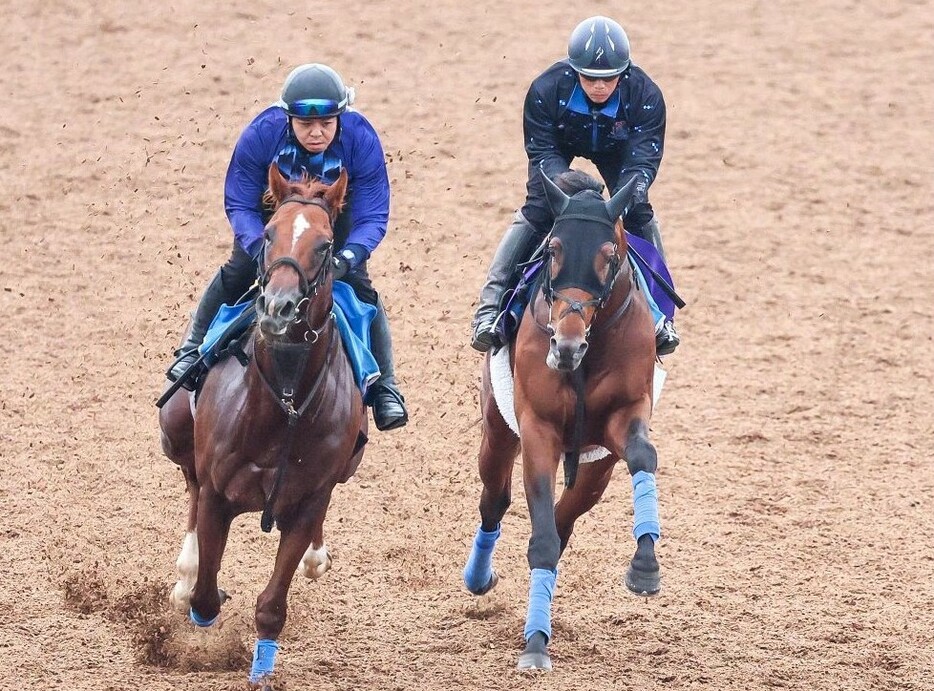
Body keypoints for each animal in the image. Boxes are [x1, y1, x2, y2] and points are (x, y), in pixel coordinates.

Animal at [159, 164, 368, 688]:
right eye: (270, 234)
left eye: (326, 245)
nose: (277, 307)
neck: (285, 404)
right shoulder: (218, 494)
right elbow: (206, 595)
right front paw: (199, 596)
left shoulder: (307, 499)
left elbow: (272, 605)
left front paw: (261, 671)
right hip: (175, 431)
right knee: (189, 482)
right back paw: (186, 569)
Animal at [464, 170, 660, 672]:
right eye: (551, 250)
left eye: (610, 257)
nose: (566, 346)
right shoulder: (539, 432)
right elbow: (540, 537)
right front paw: (535, 643)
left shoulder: (623, 417)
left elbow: (643, 456)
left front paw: (645, 566)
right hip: (498, 431)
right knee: (496, 501)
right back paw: (479, 577)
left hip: (595, 468)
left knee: (564, 517)